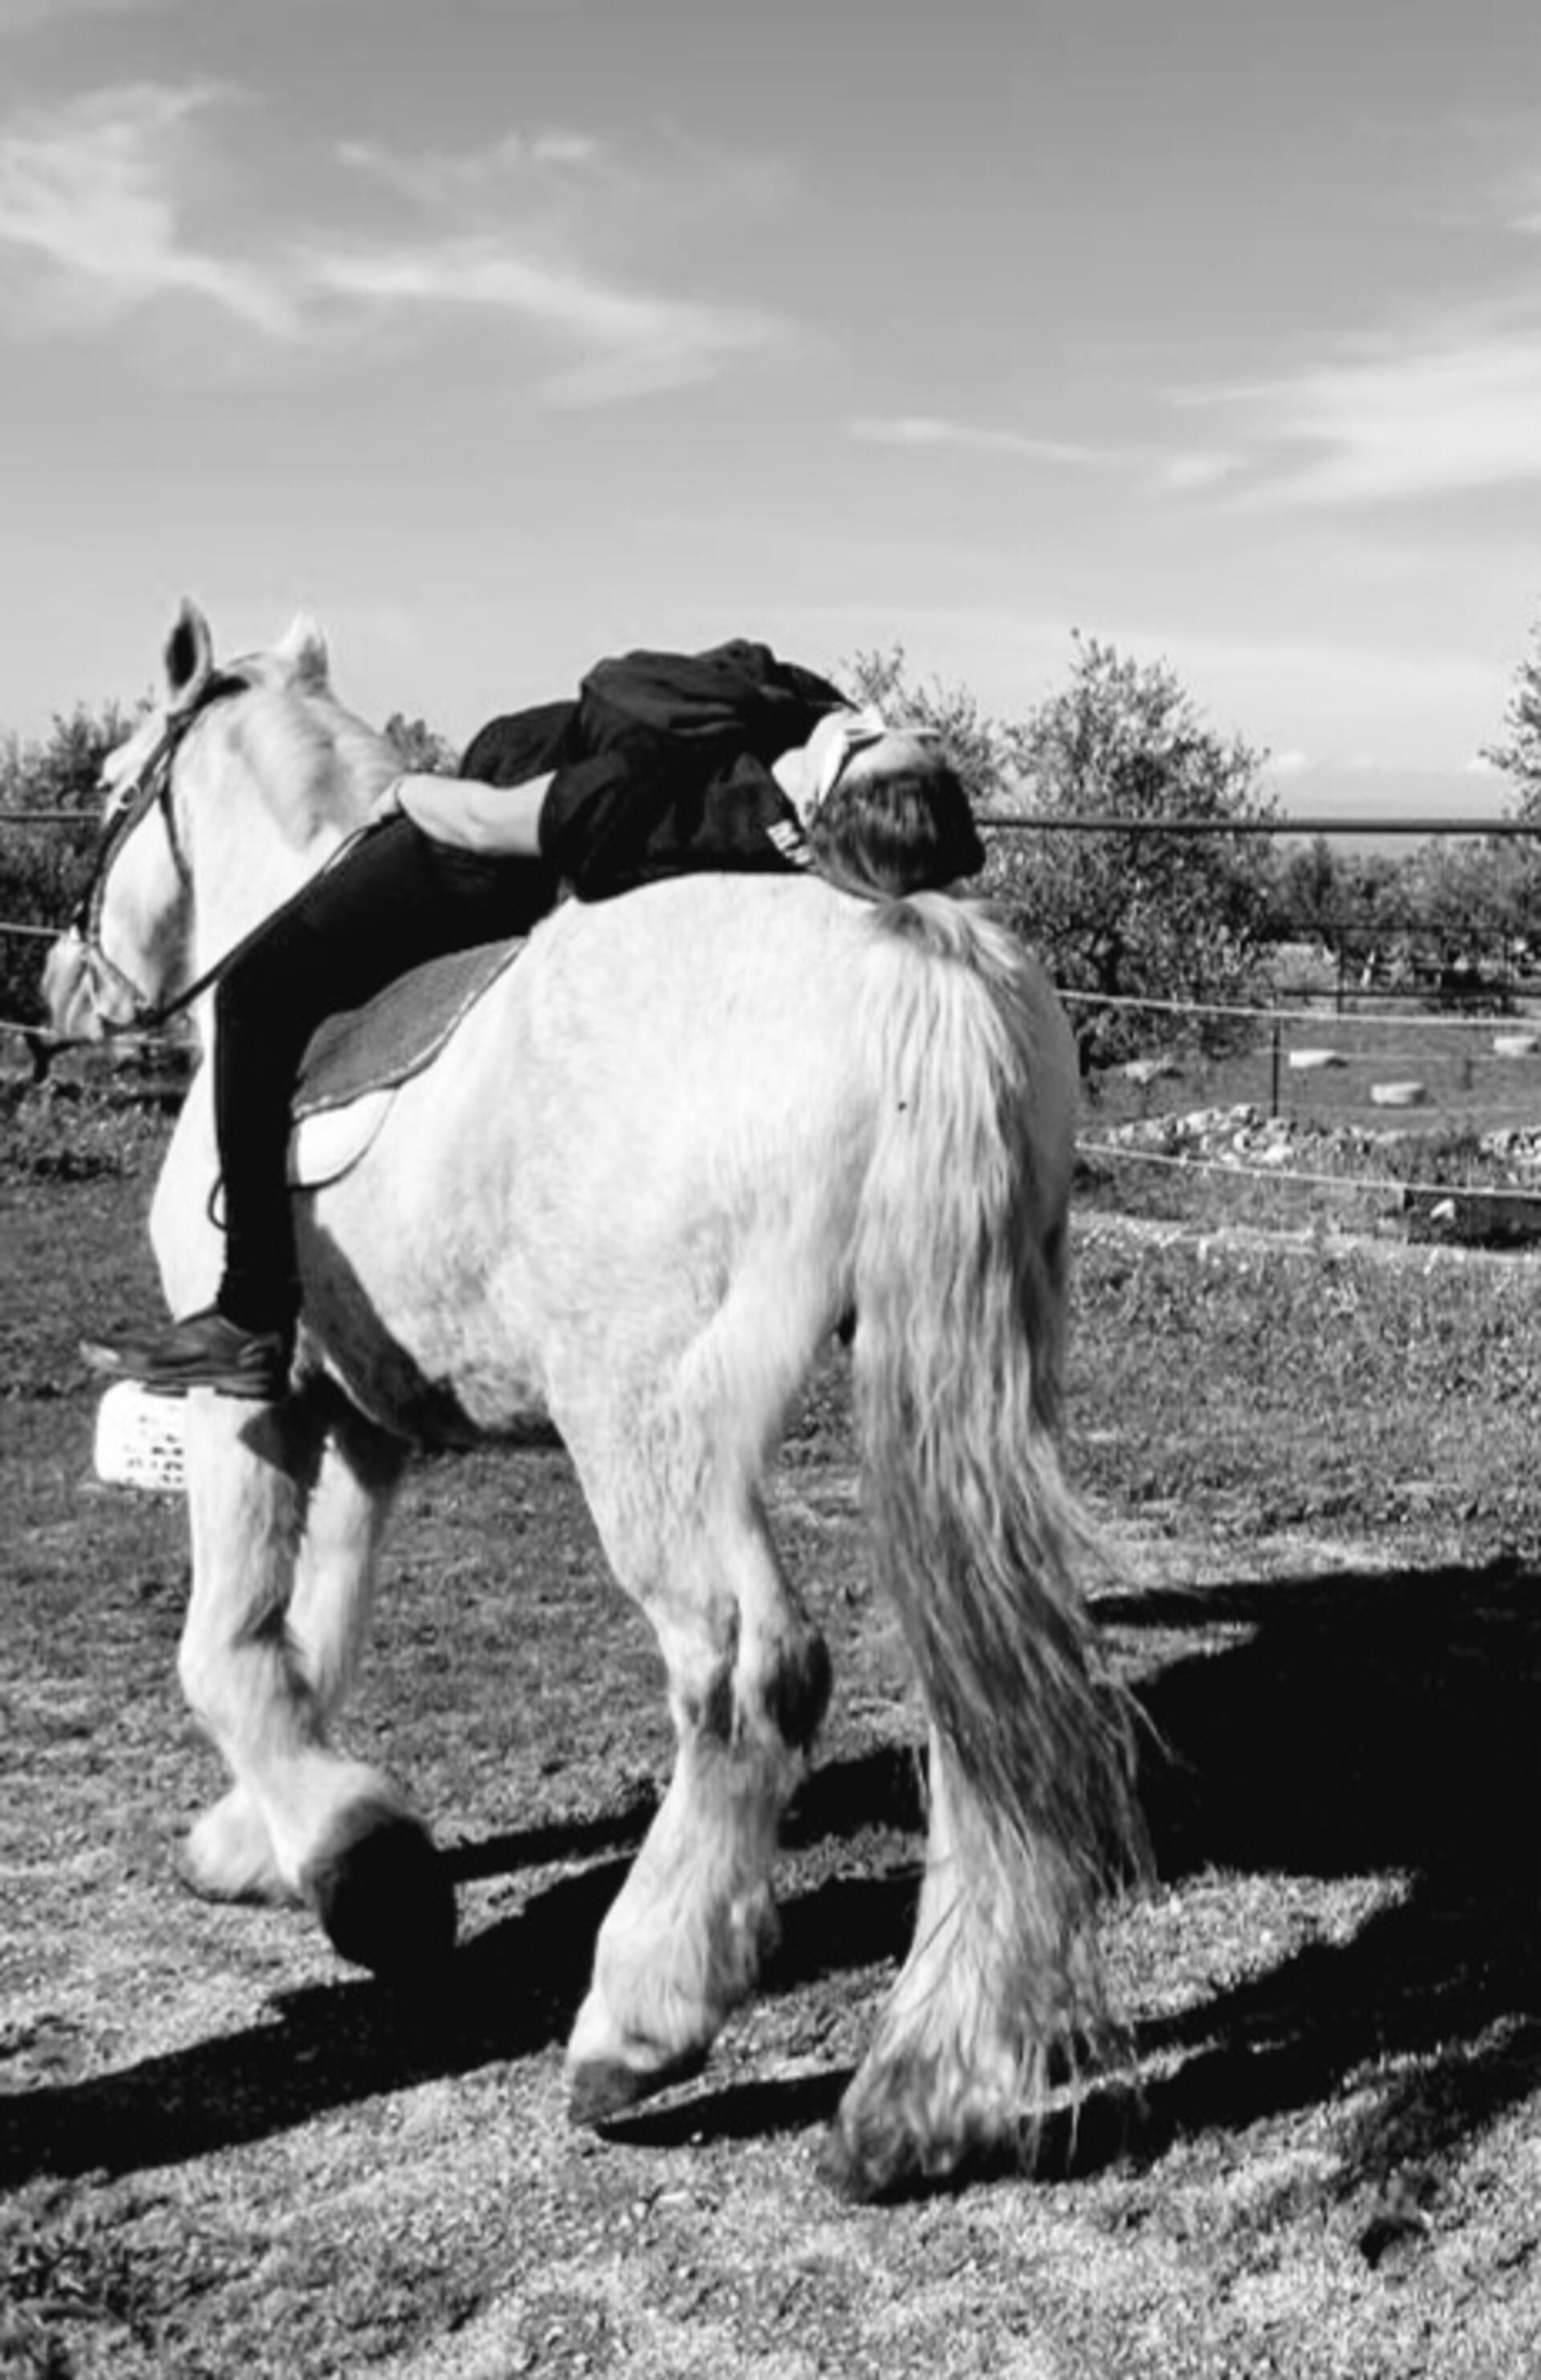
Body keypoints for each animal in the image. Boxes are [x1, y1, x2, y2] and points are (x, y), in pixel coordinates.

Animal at [45, 600, 1140, 2198]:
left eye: (112, 782)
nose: (58, 990)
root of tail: (912, 950)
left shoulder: (249, 1403)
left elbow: (227, 1648)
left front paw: (367, 1872)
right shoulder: (365, 1420)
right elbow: (317, 1626)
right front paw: (273, 1838)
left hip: (646, 1427)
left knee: (751, 1672)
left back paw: (643, 2018)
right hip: (952, 1391)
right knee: (980, 1686)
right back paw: (933, 2092)